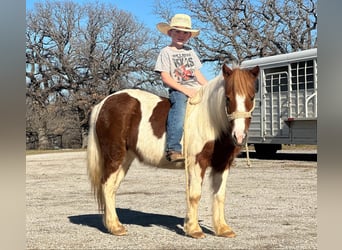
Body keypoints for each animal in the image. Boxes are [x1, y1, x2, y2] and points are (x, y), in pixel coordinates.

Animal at [87, 64, 258, 238]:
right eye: (228, 98)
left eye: (251, 97)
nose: (239, 136)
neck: (210, 121)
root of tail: (103, 103)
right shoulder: (197, 161)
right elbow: (195, 194)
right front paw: (194, 229)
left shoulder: (222, 164)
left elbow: (219, 195)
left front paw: (223, 229)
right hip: (114, 155)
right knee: (107, 185)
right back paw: (115, 227)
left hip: (125, 159)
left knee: (112, 189)